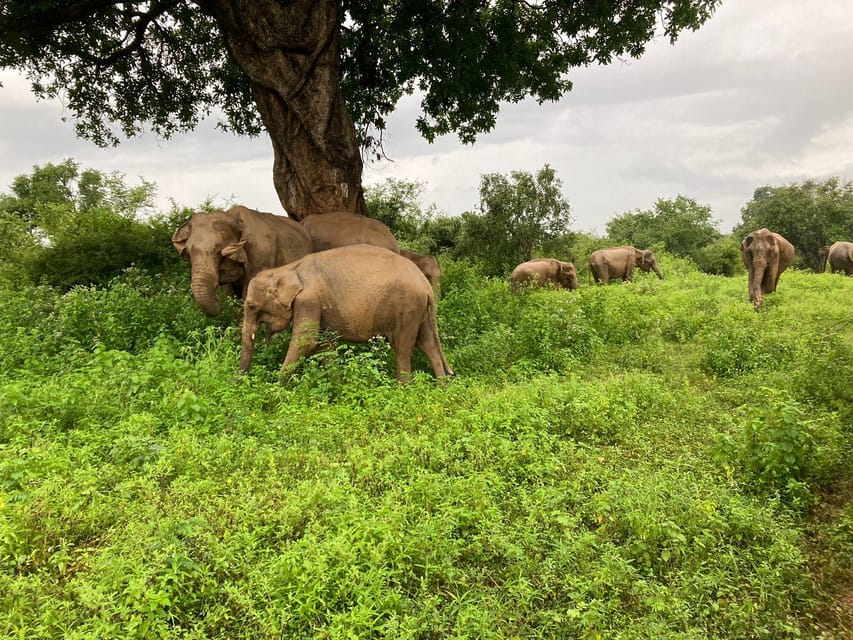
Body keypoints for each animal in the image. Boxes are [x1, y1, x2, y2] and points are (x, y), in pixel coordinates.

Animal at [170, 205, 312, 316]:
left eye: (219, 251)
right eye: (188, 253)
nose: (217, 299)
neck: (233, 218)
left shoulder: (261, 255)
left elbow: (248, 294)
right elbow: (231, 296)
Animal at [236, 244, 456, 382]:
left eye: (251, 306)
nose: (238, 382)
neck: (288, 268)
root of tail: (425, 286)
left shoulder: (309, 301)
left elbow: (305, 342)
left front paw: (274, 389)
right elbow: (325, 345)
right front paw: (338, 387)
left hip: (407, 308)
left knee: (403, 347)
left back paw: (404, 389)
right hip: (420, 311)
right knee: (428, 343)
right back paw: (443, 387)